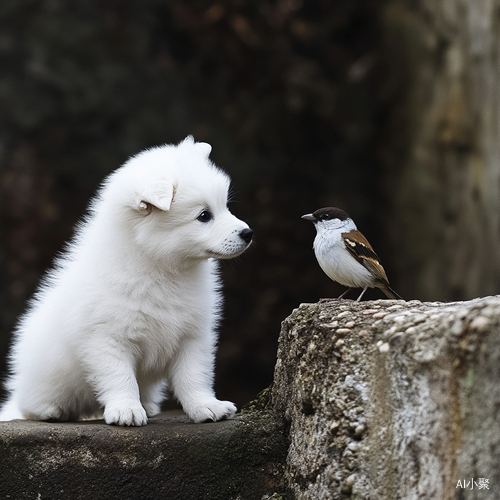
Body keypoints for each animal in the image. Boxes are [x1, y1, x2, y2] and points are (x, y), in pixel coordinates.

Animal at [0, 136, 252, 426]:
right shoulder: (107, 339)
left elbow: (194, 376)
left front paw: (206, 406)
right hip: (45, 377)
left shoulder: (193, 336)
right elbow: (121, 378)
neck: (162, 268)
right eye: (203, 216)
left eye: (225, 207)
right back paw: (50, 409)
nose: (248, 233)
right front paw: (126, 410)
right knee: (28, 404)